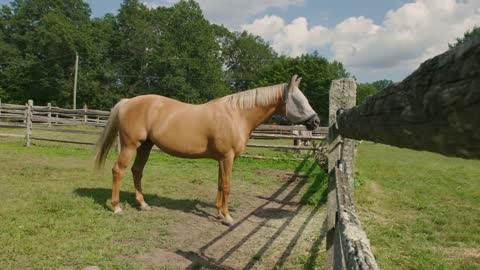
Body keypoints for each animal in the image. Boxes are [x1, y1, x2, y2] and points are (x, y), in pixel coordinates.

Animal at [94, 74, 318, 226]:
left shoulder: (222, 159)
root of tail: (127, 102)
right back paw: (117, 207)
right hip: (130, 146)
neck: (237, 114)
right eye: (298, 100)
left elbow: (219, 185)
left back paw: (143, 204)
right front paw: (227, 217)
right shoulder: (227, 158)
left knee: (137, 171)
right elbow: (226, 186)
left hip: (145, 146)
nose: (316, 122)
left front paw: (218, 212)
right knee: (118, 171)